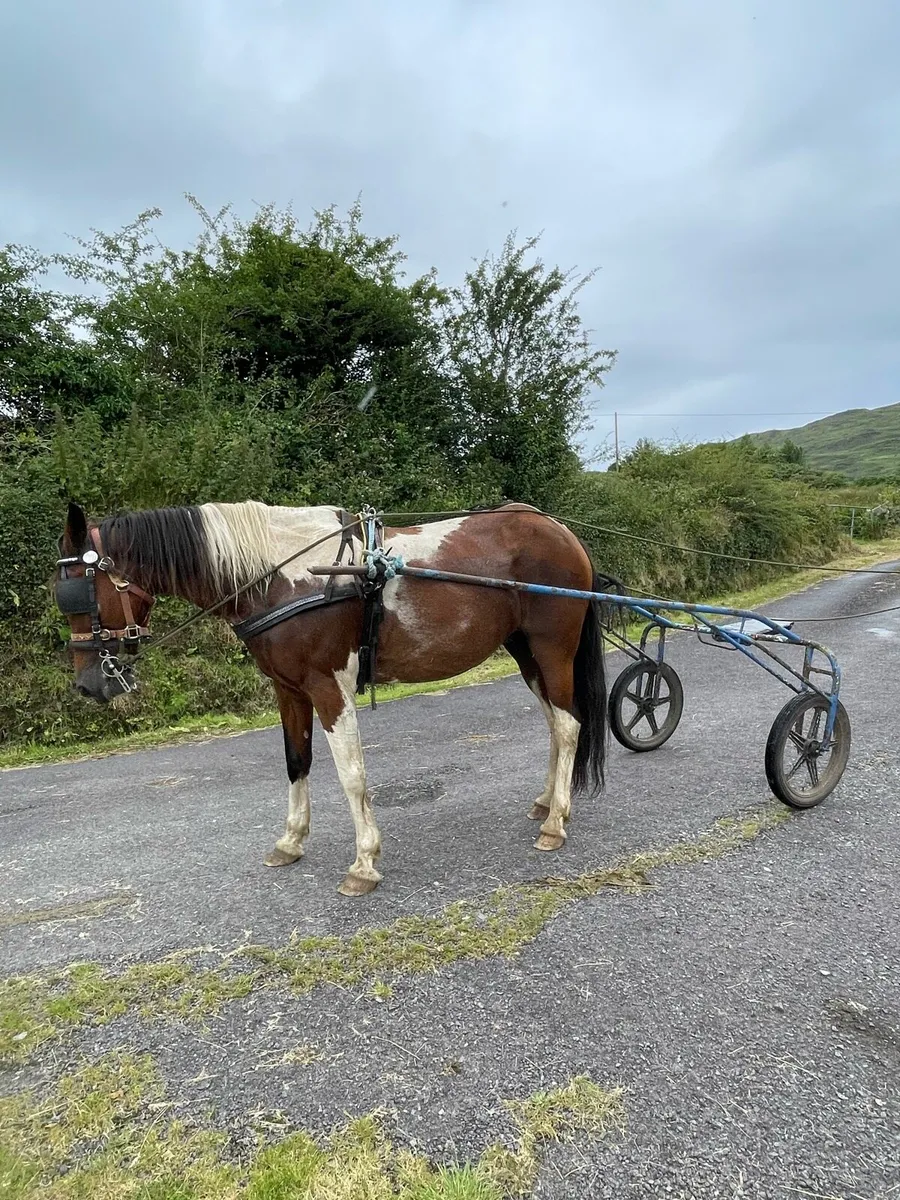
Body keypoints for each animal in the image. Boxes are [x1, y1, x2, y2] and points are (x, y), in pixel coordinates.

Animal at [54, 499, 608, 896]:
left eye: (80, 592)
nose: (87, 685)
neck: (281, 576)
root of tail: (562, 532)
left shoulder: (328, 686)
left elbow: (351, 774)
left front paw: (364, 862)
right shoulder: (289, 689)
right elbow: (296, 761)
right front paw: (290, 841)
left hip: (551, 649)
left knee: (568, 725)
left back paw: (556, 821)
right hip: (525, 653)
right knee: (554, 723)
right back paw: (546, 802)